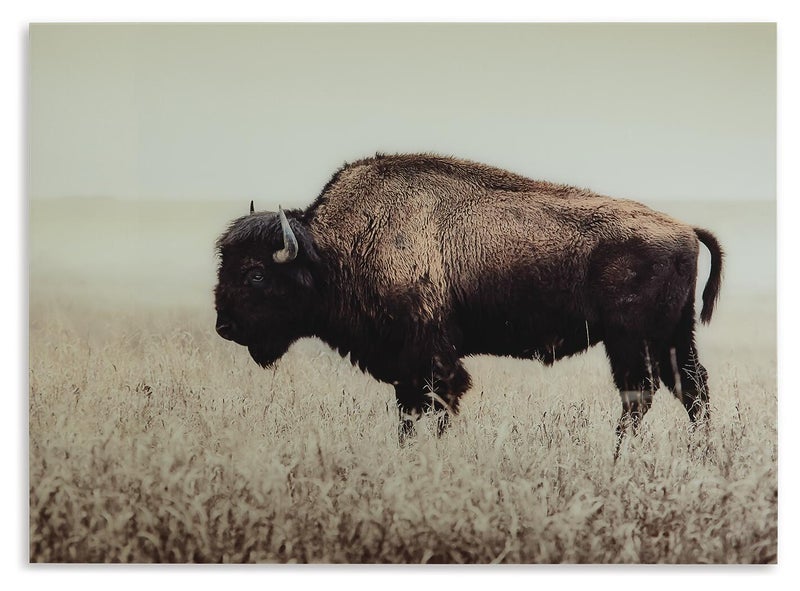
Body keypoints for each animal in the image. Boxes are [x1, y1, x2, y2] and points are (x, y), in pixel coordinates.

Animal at [214, 153, 723, 441]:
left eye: (256, 274)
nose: (224, 327)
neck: (332, 250)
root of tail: (684, 229)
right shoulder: (407, 365)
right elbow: (409, 412)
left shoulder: (431, 357)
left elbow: (438, 403)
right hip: (673, 336)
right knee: (691, 389)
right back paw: (699, 453)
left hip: (630, 340)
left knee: (641, 394)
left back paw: (619, 455)